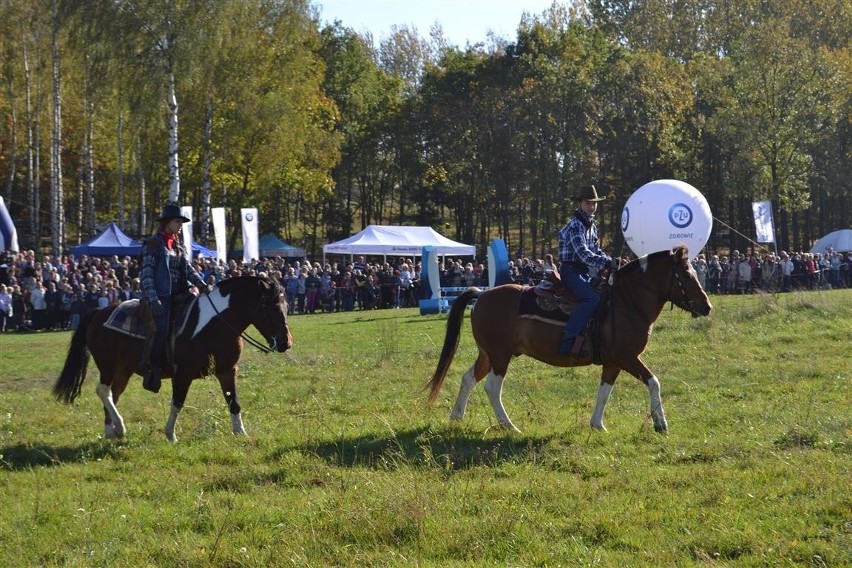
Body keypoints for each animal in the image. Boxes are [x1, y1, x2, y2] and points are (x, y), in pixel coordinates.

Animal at [54, 278, 292, 442]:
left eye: (286, 306)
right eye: (272, 308)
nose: (286, 343)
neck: (215, 323)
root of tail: (98, 312)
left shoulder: (227, 370)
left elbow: (233, 401)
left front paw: (240, 432)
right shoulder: (183, 374)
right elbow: (177, 403)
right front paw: (170, 434)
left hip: (123, 370)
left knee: (114, 394)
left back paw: (111, 431)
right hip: (107, 365)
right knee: (103, 390)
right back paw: (119, 427)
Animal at [426, 245, 712, 434]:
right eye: (687, 274)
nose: (706, 306)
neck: (626, 301)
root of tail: (481, 295)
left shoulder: (613, 362)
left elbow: (604, 393)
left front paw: (597, 425)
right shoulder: (626, 357)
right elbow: (654, 382)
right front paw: (660, 423)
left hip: (488, 354)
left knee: (468, 379)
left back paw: (456, 417)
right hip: (500, 355)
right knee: (492, 388)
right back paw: (509, 425)